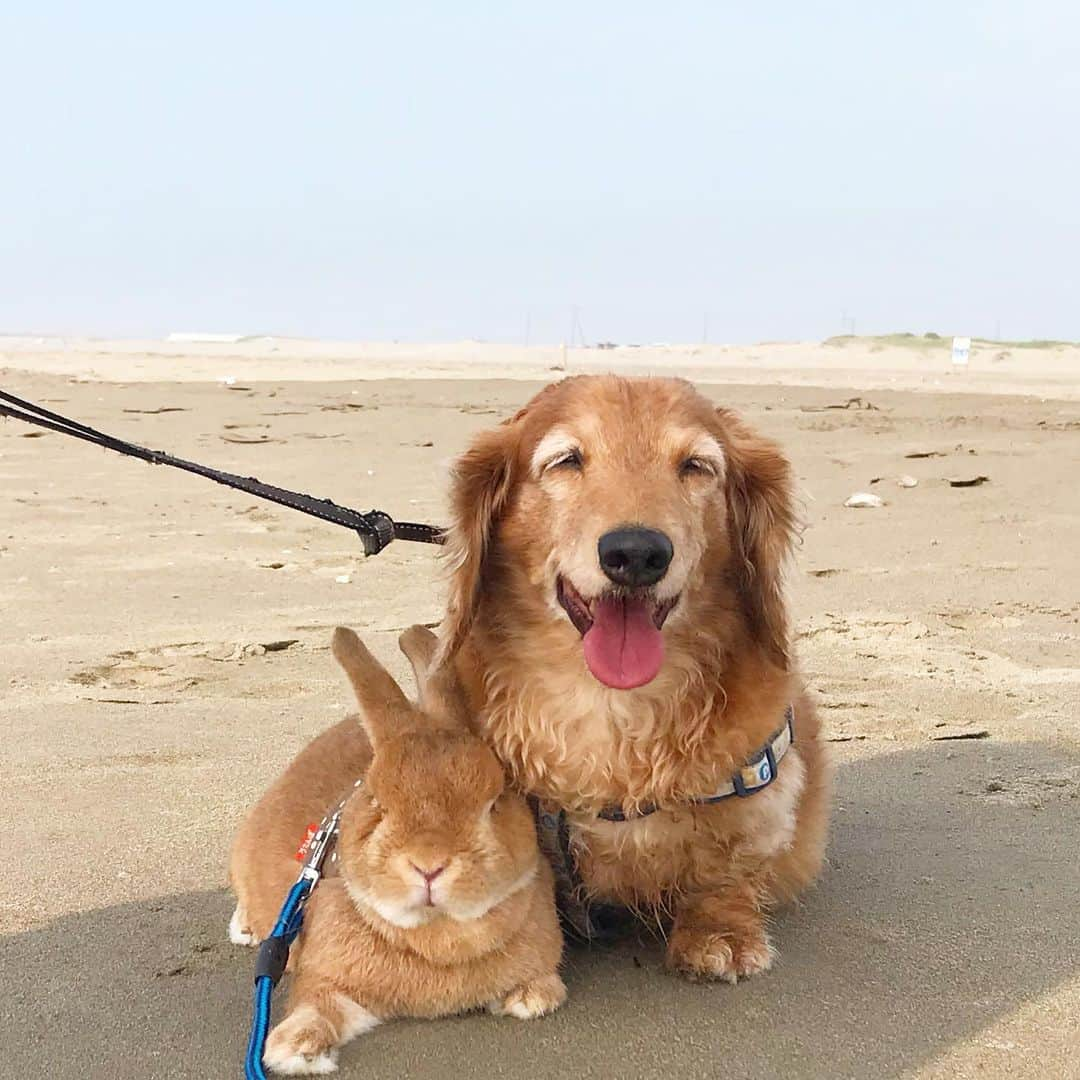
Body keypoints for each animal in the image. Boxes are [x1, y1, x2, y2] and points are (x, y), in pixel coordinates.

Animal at [227, 630, 565, 1075]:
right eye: (377, 802)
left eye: (494, 802)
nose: (428, 865)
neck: (438, 936)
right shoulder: (326, 978)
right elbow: (315, 1004)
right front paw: (297, 1049)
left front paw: (531, 998)